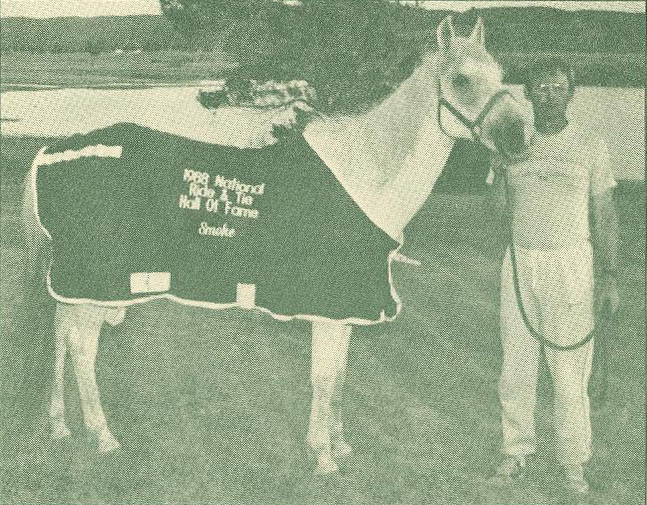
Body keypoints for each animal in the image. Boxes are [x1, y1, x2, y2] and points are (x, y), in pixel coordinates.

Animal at [22, 14, 536, 472]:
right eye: (462, 79)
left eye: (501, 76)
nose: (520, 137)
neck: (365, 172)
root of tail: (51, 151)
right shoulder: (331, 303)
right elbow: (324, 377)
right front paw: (323, 457)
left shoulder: (346, 306)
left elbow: (339, 374)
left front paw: (338, 444)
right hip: (96, 283)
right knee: (82, 349)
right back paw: (102, 435)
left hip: (80, 285)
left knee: (62, 335)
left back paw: (59, 425)